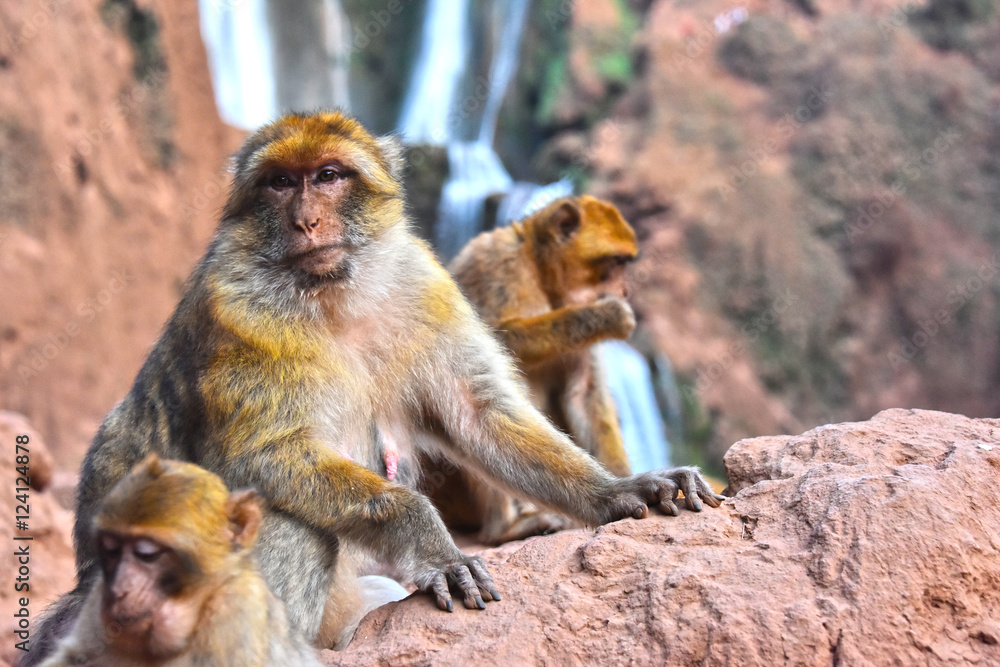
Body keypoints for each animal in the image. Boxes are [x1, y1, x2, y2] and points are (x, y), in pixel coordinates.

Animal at [425, 196, 641, 544]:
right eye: (615, 262)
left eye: (625, 263)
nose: (624, 291)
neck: (540, 272)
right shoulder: (497, 263)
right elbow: (481, 343)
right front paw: (607, 315)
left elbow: (585, 393)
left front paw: (624, 485)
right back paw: (504, 528)